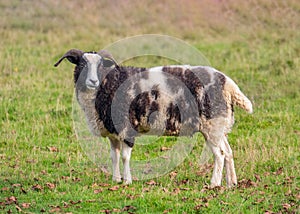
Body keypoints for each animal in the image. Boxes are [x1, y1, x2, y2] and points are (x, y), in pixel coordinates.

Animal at [54, 49, 253, 187]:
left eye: (101, 65)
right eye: (81, 65)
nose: (92, 81)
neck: (108, 84)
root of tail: (228, 84)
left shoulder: (126, 128)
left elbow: (125, 157)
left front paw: (127, 181)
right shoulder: (113, 133)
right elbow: (114, 156)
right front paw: (115, 179)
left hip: (213, 126)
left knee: (220, 155)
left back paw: (214, 184)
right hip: (219, 126)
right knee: (228, 152)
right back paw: (231, 183)